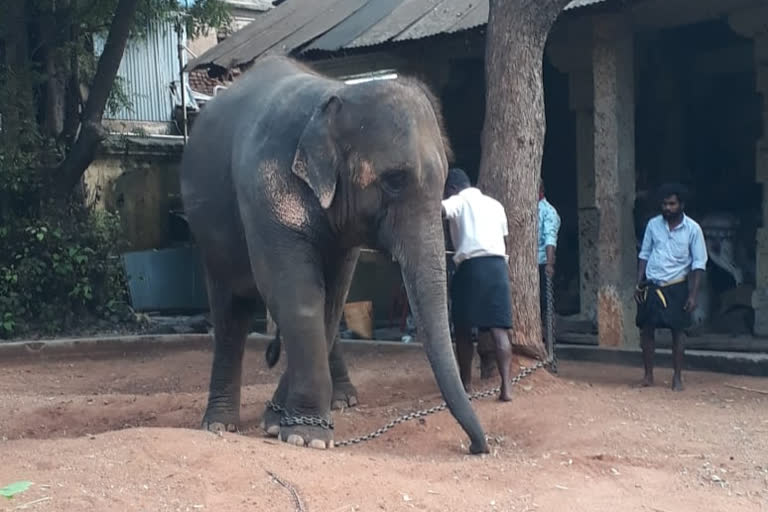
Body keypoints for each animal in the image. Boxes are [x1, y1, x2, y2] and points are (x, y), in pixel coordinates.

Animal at [180, 56, 488, 454]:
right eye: (394, 180)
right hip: (207, 232)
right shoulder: (264, 189)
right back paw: (218, 425)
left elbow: (331, 296)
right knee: (230, 311)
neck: (335, 96)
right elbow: (295, 294)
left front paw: (278, 421)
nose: (477, 446)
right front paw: (304, 435)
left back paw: (342, 401)